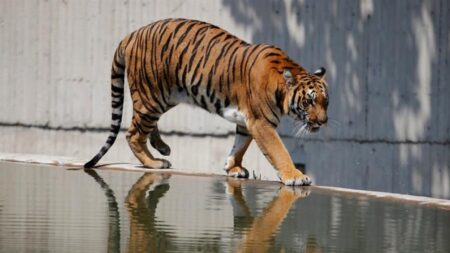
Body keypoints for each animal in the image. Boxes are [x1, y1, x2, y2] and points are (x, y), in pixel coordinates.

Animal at [83, 18, 326, 186]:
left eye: (326, 102)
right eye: (309, 101)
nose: (323, 122)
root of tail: (133, 34)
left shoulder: (247, 121)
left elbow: (240, 145)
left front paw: (233, 167)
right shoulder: (261, 123)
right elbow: (278, 151)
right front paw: (295, 176)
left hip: (163, 97)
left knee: (144, 126)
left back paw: (162, 147)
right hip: (151, 96)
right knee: (133, 133)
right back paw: (154, 162)